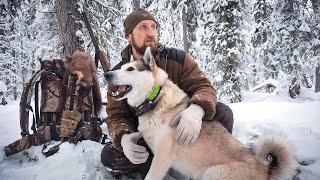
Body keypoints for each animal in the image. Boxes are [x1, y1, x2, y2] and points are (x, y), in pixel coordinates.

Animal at [104, 47, 292, 180]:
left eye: (130, 69)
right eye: (121, 67)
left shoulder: (162, 158)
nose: (106, 74)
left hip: (212, 173)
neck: (154, 98)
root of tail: (265, 170)